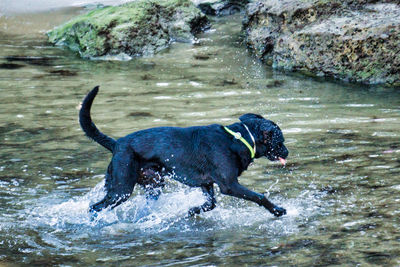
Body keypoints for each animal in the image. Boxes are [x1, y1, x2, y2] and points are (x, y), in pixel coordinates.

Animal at [79, 86, 290, 218]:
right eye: (280, 141)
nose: (288, 152)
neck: (240, 138)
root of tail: (117, 144)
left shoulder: (207, 184)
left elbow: (210, 204)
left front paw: (192, 211)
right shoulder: (229, 185)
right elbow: (259, 196)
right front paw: (277, 210)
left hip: (153, 184)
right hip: (121, 188)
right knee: (94, 208)